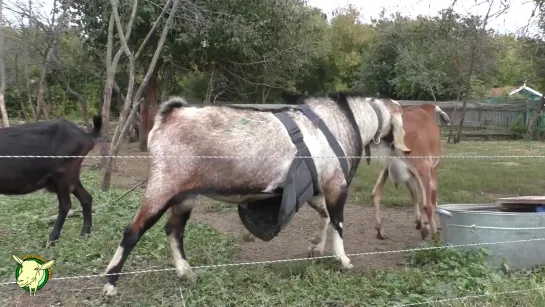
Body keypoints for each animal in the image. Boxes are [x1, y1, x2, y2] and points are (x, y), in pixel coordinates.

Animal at [102, 92, 410, 296]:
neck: (345, 120)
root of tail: (171, 113)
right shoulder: (336, 184)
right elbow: (338, 221)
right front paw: (343, 260)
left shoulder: (315, 187)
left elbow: (324, 215)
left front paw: (315, 248)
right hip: (164, 184)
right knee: (133, 230)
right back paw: (109, 284)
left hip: (185, 194)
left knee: (174, 229)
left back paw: (186, 272)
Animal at [370, 104, 450, 242]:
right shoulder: (432, 169)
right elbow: (432, 199)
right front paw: (424, 226)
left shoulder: (411, 177)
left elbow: (415, 197)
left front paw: (420, 223)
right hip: (422, 168)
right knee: (428, 205)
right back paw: (435, 236)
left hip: (385, 167)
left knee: (375, 194)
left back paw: (380, 230)